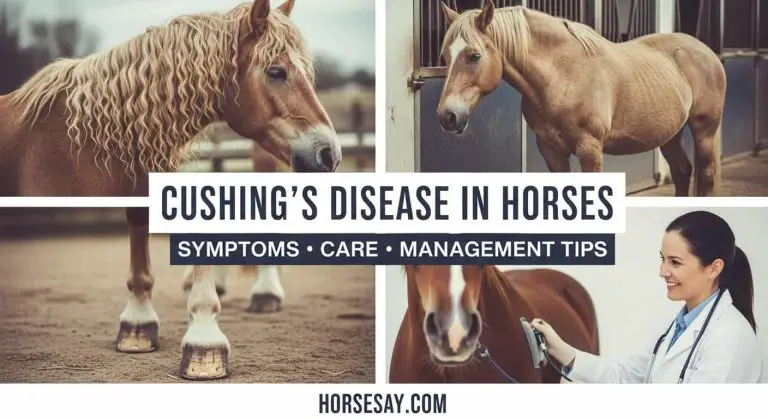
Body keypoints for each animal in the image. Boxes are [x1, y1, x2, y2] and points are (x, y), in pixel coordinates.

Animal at [436, 1, 726, 197]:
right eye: (445, 57)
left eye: (474, 56)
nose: (447, 116)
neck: (563, 76)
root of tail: (705, 51)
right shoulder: (551, 151)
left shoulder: (590, 150)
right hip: (670, 134)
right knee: (682, 172)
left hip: (704, 129)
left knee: (707, 175)